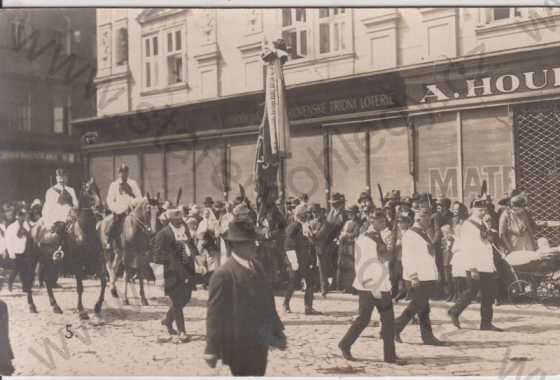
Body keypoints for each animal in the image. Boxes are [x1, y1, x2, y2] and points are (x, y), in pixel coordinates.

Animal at [29, 177, 106, 318]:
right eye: (88, 191)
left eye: (98, 189)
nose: (100, 206)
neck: (84, 231)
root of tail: (34, 226)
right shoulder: (78, 264)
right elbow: (80, 287)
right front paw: (81, 311)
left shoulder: (95, 261)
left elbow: (103, 280)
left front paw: (98, 306)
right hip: (32, 260)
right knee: (30, 280)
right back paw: (32, 306)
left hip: (49, 262)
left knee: (47, 281)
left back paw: (55, 306)